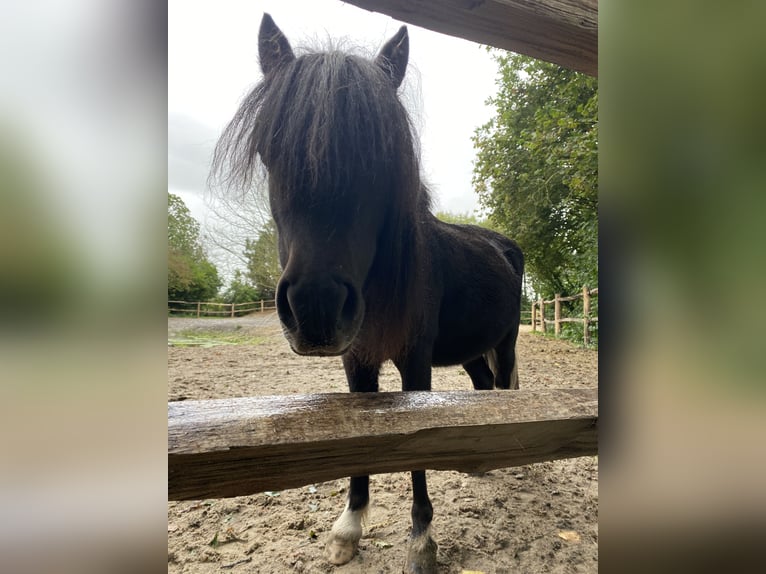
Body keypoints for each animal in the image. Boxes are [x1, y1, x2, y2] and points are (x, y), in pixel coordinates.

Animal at [213, 14, 524, 574]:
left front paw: (422, 542)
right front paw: (348, 529)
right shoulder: (356, 360)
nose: (315, 309)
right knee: (483, 385)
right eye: (270, 152)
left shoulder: (415, 360)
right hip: (470, 352)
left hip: (504, 342)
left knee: (501, 385)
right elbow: (358, 437)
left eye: (383, 160)